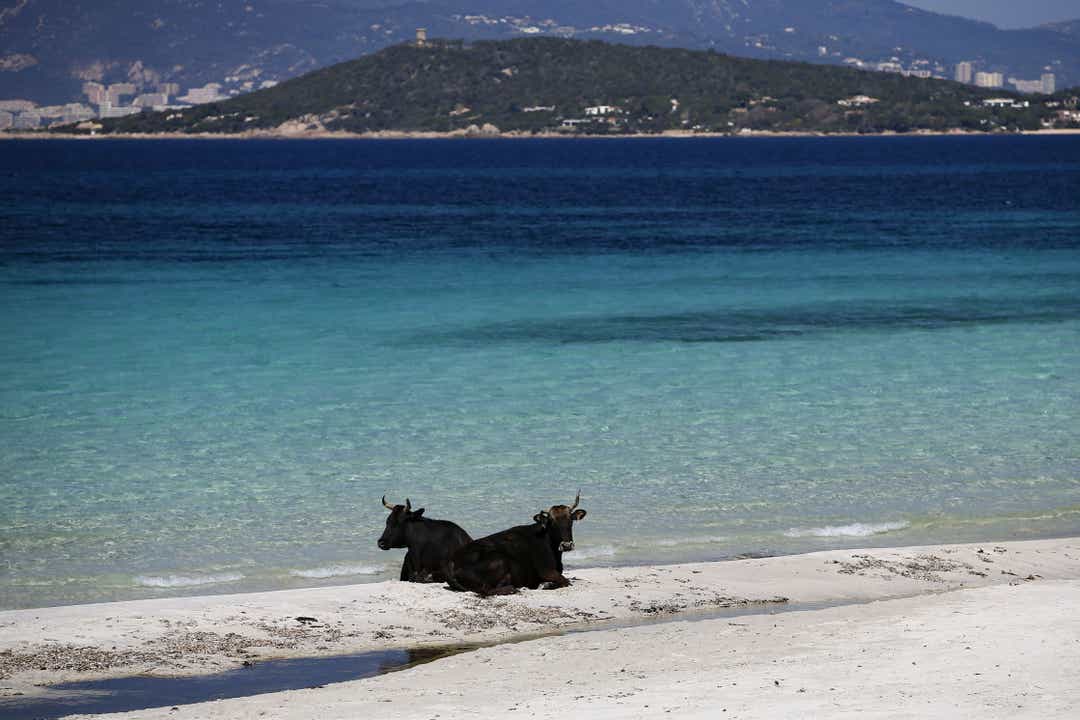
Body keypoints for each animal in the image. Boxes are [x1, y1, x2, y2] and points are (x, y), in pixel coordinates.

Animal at [444, 492, 587, 600]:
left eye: (570, 520)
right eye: (552, 522)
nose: (567, 545)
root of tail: (452, 561)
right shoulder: (546, 570)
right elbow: (565, 581)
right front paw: (546, 585)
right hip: (499, 560)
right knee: (485, 590)